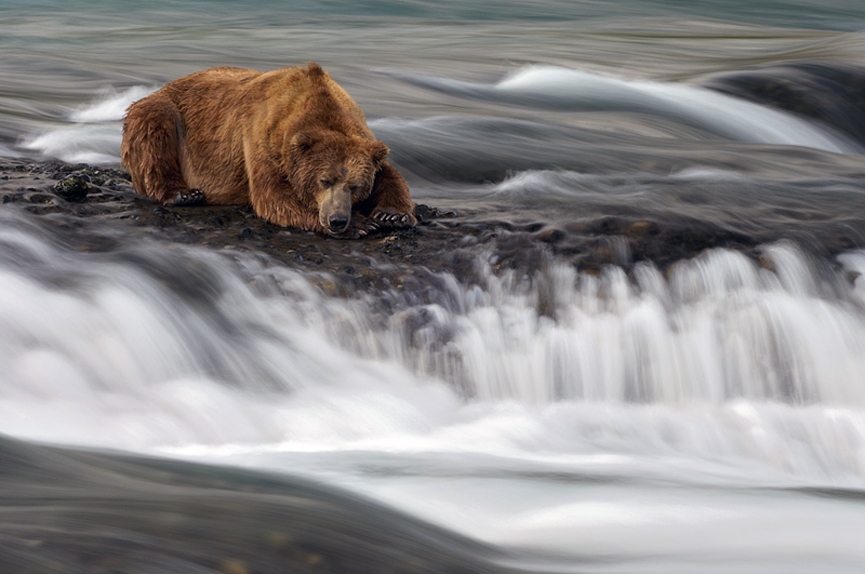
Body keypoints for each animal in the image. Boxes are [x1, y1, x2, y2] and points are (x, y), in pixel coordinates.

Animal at [121, 63, 416, 238]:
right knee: (154, 134)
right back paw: (184, 194)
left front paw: (392, 214)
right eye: (325, 180)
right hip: (163, 113)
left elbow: (391, 175)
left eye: (355, 186)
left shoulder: (364, 139)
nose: (338, 220)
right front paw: (362, 224)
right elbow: (273, 197)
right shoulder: (260, 137)